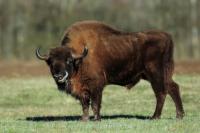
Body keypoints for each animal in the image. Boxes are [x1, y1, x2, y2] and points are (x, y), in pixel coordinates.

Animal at [35, 20, 184, 121]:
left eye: (68, 60)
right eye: (51, 62)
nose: (58, 76)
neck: (81, 59)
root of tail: (166, 37)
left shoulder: (96, 86)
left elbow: (95, 103)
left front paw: (97, 119)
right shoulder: (83, 89)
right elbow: (85, 104)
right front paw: (84, 119)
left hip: (155, 75)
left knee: (161, 93)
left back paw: (155, 117)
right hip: (159, 75)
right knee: (173, 88)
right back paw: (179, 115)